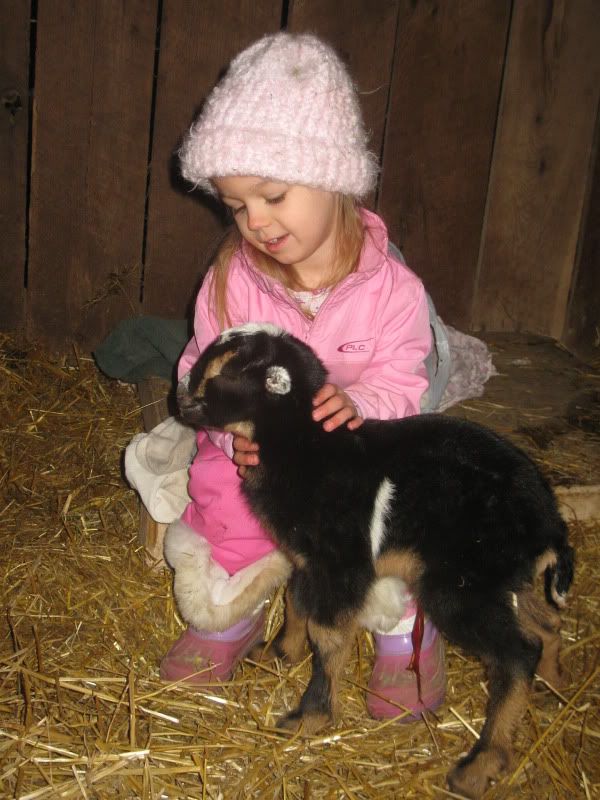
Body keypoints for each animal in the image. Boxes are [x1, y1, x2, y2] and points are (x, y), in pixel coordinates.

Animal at [177, 323, 574, 799]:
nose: (180, 399)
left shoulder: (341, 563)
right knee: (546, 626)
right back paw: (555, 684)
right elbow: (295, 601)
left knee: (517, 652)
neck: (308, 448)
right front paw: (278, 652)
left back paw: (479, 766)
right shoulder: (310, 560)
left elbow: (328, 635)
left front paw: (309, 717)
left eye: (224, 373)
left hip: (460, 581)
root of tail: (549, 524)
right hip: (502, 576)